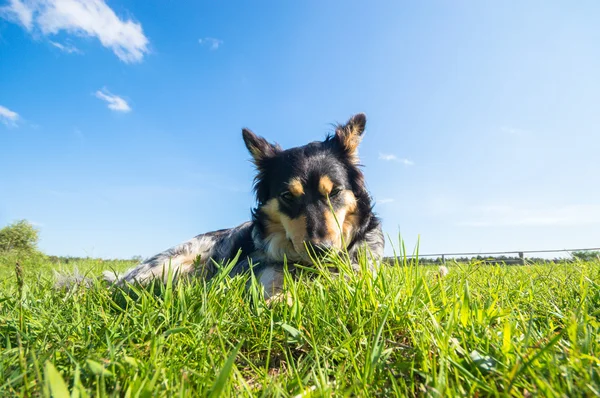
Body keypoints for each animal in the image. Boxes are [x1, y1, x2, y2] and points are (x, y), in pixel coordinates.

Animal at [101, 113, 384, 296]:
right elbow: (272, 276)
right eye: (287, 196)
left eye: (334, 192)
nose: (321, 250)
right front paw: (279, 299)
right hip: (169, 262)